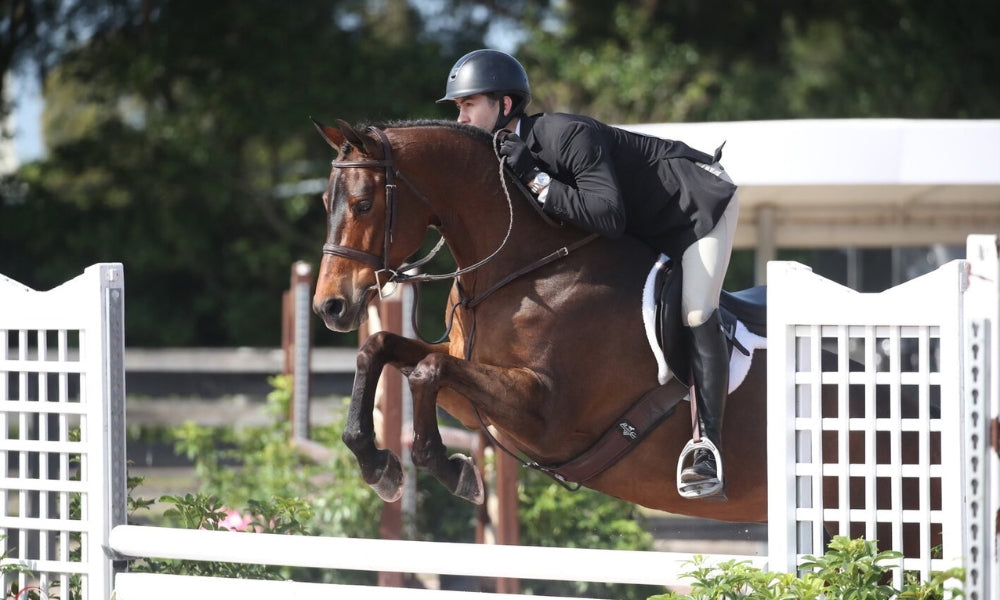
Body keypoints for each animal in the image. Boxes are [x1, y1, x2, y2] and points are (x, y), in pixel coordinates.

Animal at [310, 119, 936, 548]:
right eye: (324, 202)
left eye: (363, 203)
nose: (330, 306)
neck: (529, 265)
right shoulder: (478, 396)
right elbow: (387, 352)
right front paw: (378, 463)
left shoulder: (548, 414)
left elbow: (426, 369)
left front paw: (445, 467)